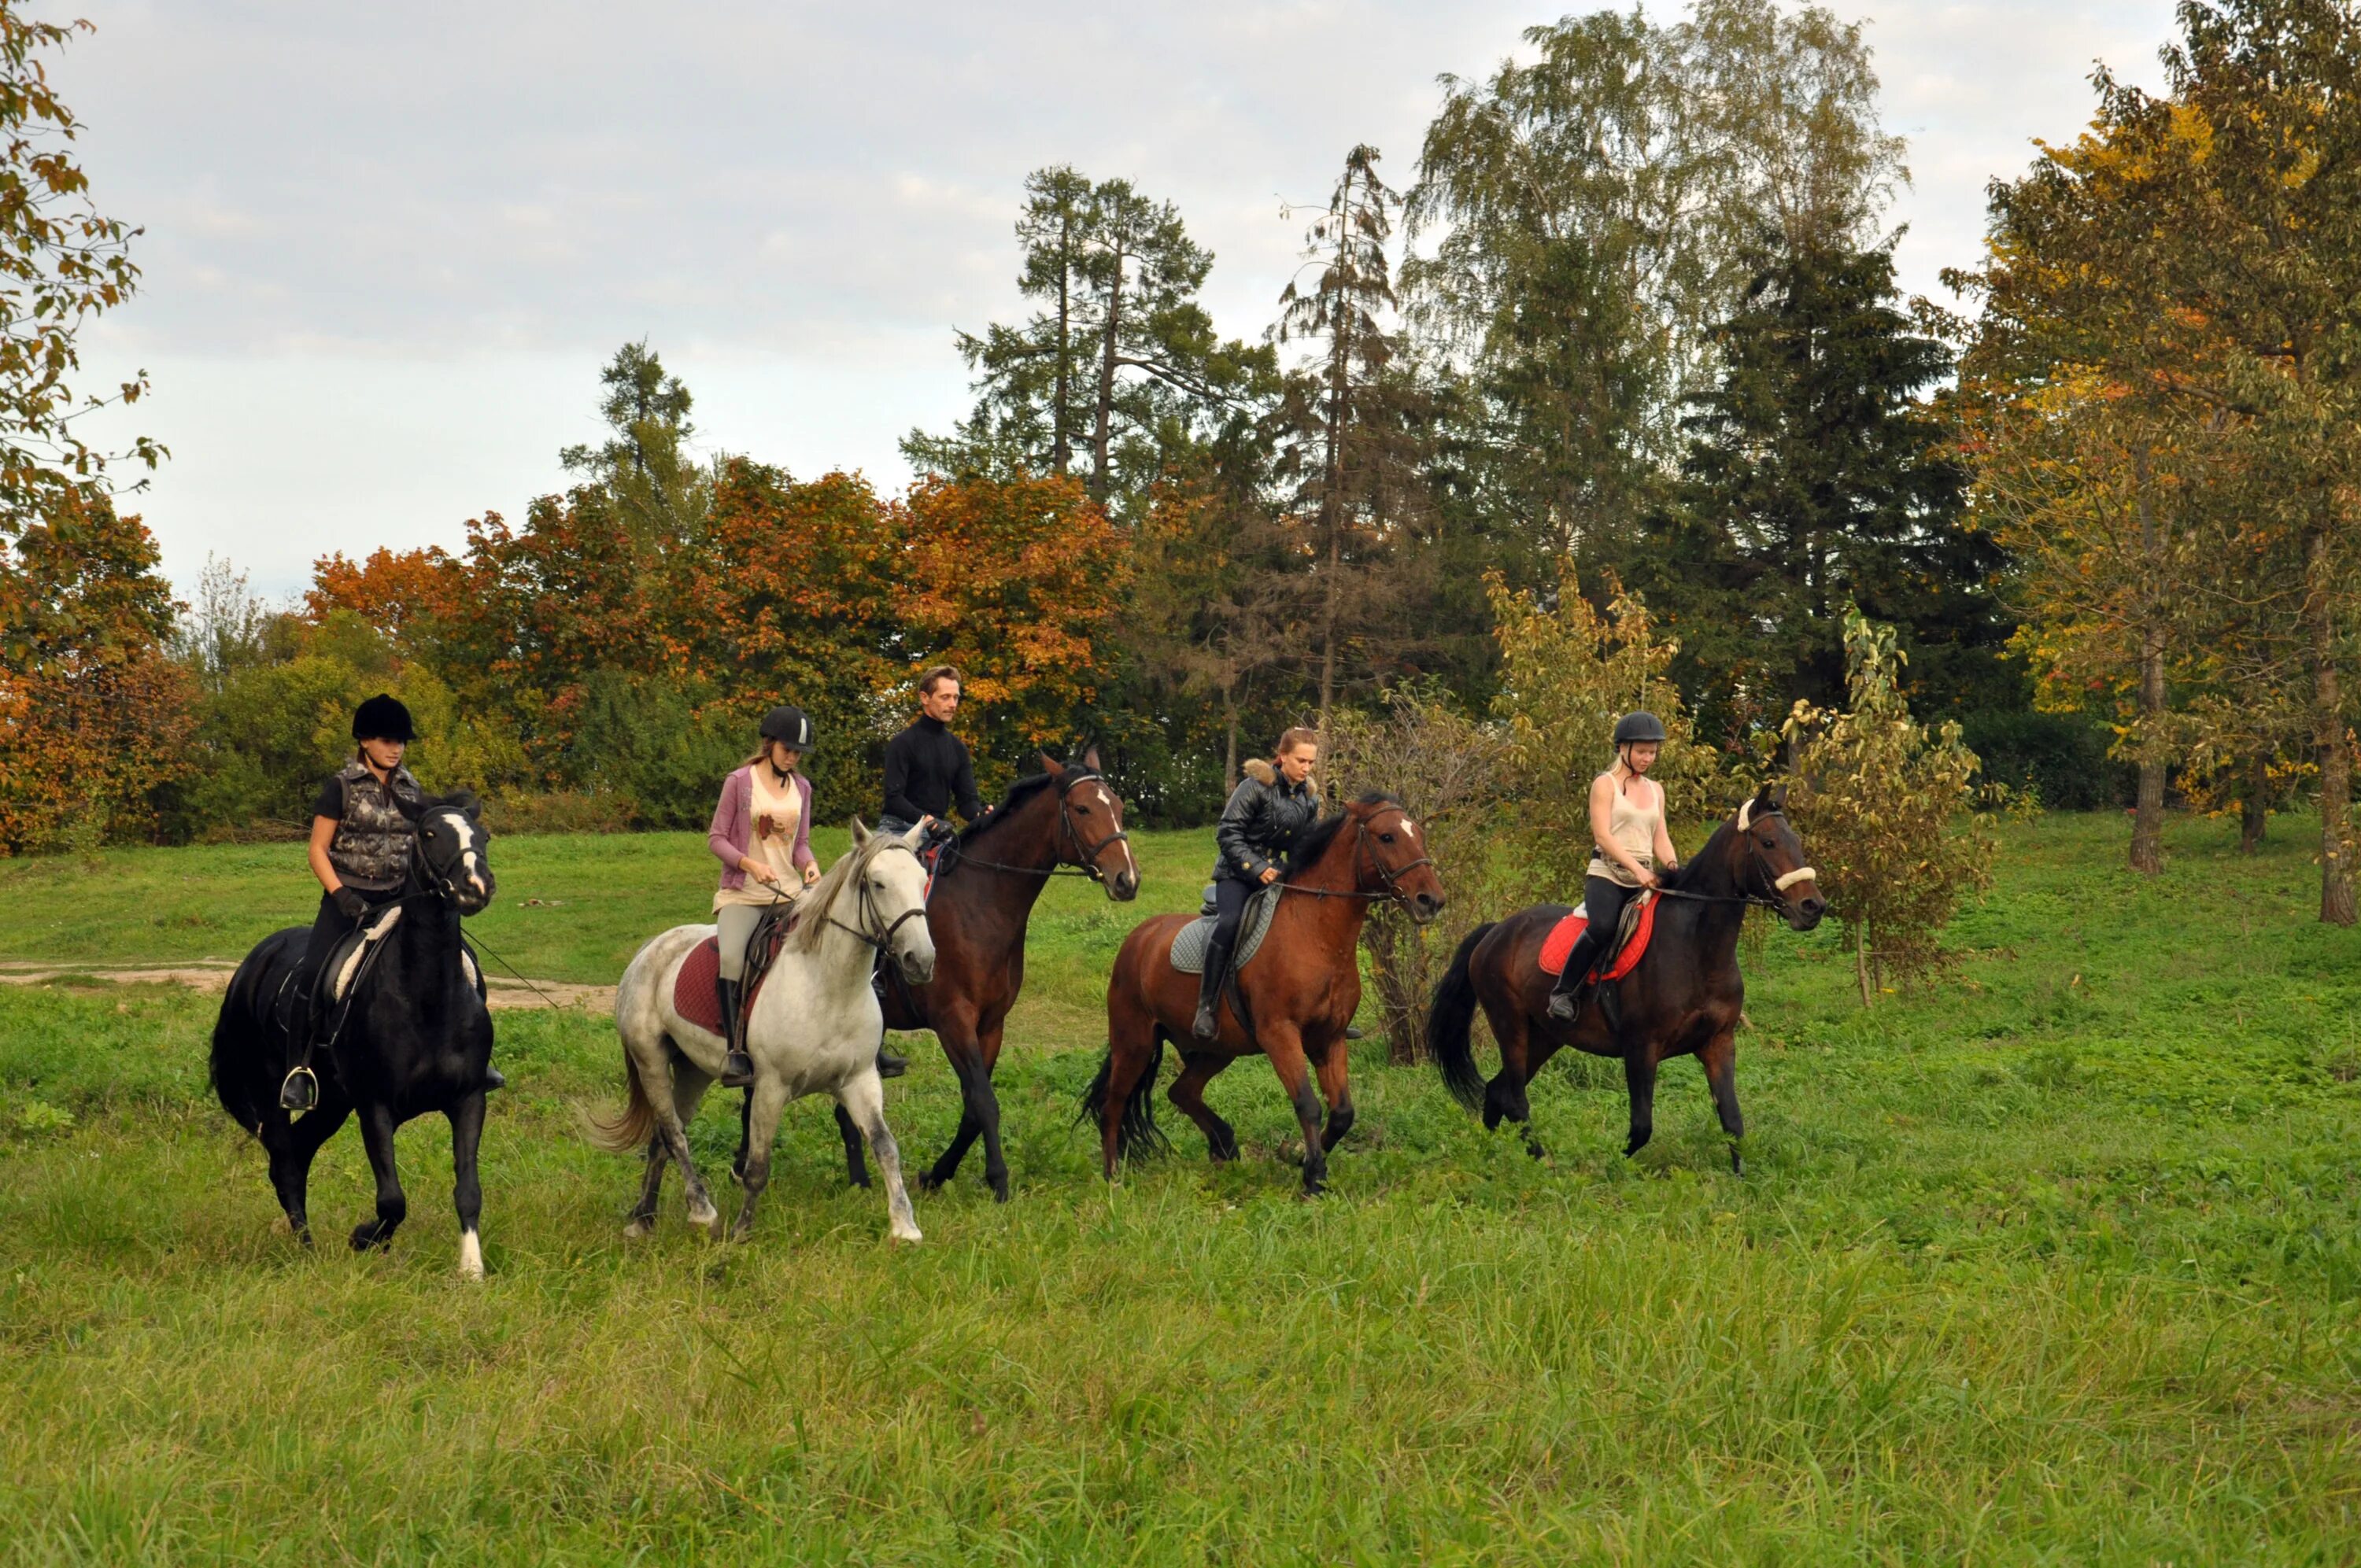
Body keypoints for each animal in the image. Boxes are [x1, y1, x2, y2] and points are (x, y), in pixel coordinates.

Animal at [209, 798, 503, 1275]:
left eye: (484, 835)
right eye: (429, 834)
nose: (475, 886)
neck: (428, 999)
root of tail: (251, 965)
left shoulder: (468, 1099)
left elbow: (468, 1191)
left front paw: (472, 1269)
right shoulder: (374, 1106)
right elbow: (392, 1200)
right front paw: (364, 1238)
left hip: (332, 1102)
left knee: (298, 1153)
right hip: (275, 1093)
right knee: (285, 1161)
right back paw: (307, 1252)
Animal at [595, 826, 935, 1246]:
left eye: (922, 880)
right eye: (878, 883)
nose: (921, 960)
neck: (828, 987)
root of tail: (648, 951)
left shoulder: (860, 1080)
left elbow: (886, 1146)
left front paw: (905, 1226)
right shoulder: (771, 1087)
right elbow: (757, 1164)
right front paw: (742, 1231)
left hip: (693, 1071)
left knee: (662, 1137)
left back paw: (644, 1217)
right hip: (651, 1062)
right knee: (674, 1135)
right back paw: (702, 1212)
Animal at [737, 746, 1143, 1199]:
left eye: (1118, 807)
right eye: (1083, 808)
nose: (1126, 879)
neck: (980, 903)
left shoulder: (991, 1024)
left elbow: (973, 1107)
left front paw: (937, 1173)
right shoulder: (953, 1020)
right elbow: (983, 1100)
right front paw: (998, 1180)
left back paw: (857, 1177)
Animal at [1081, 798, 1435, 1199]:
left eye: (1418, 833)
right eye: (1387, 837)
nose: (1431, 900)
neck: (1314, 934)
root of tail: (1138, 938)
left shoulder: (1329, 1039)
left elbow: (1342, 1112)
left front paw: (1299, 1158)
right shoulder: (1280, 1035)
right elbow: (1308, 1104)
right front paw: (1312, 1177)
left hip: (1217, 1049)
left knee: (1182, 1091)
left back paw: (1223, 1144)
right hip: (1135, 1044)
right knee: (1114, 1105)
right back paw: (1113, 1177)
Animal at [1417, 784, 1823, 1175]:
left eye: (1796, 841)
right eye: (1768, 842)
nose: (1813, 908)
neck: (1695, 948)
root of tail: (1494, 933)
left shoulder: (1718, 1043)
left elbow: (1733, 1122)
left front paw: (1740, 1178)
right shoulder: (1641, 1048)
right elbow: (1641, 1127)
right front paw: (1606, 1165)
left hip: (1546, 1036)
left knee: (1497, 1090)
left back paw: (1487, 1158)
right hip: (1510, 1026)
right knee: (1515, 1098)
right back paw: (1545, 1165)